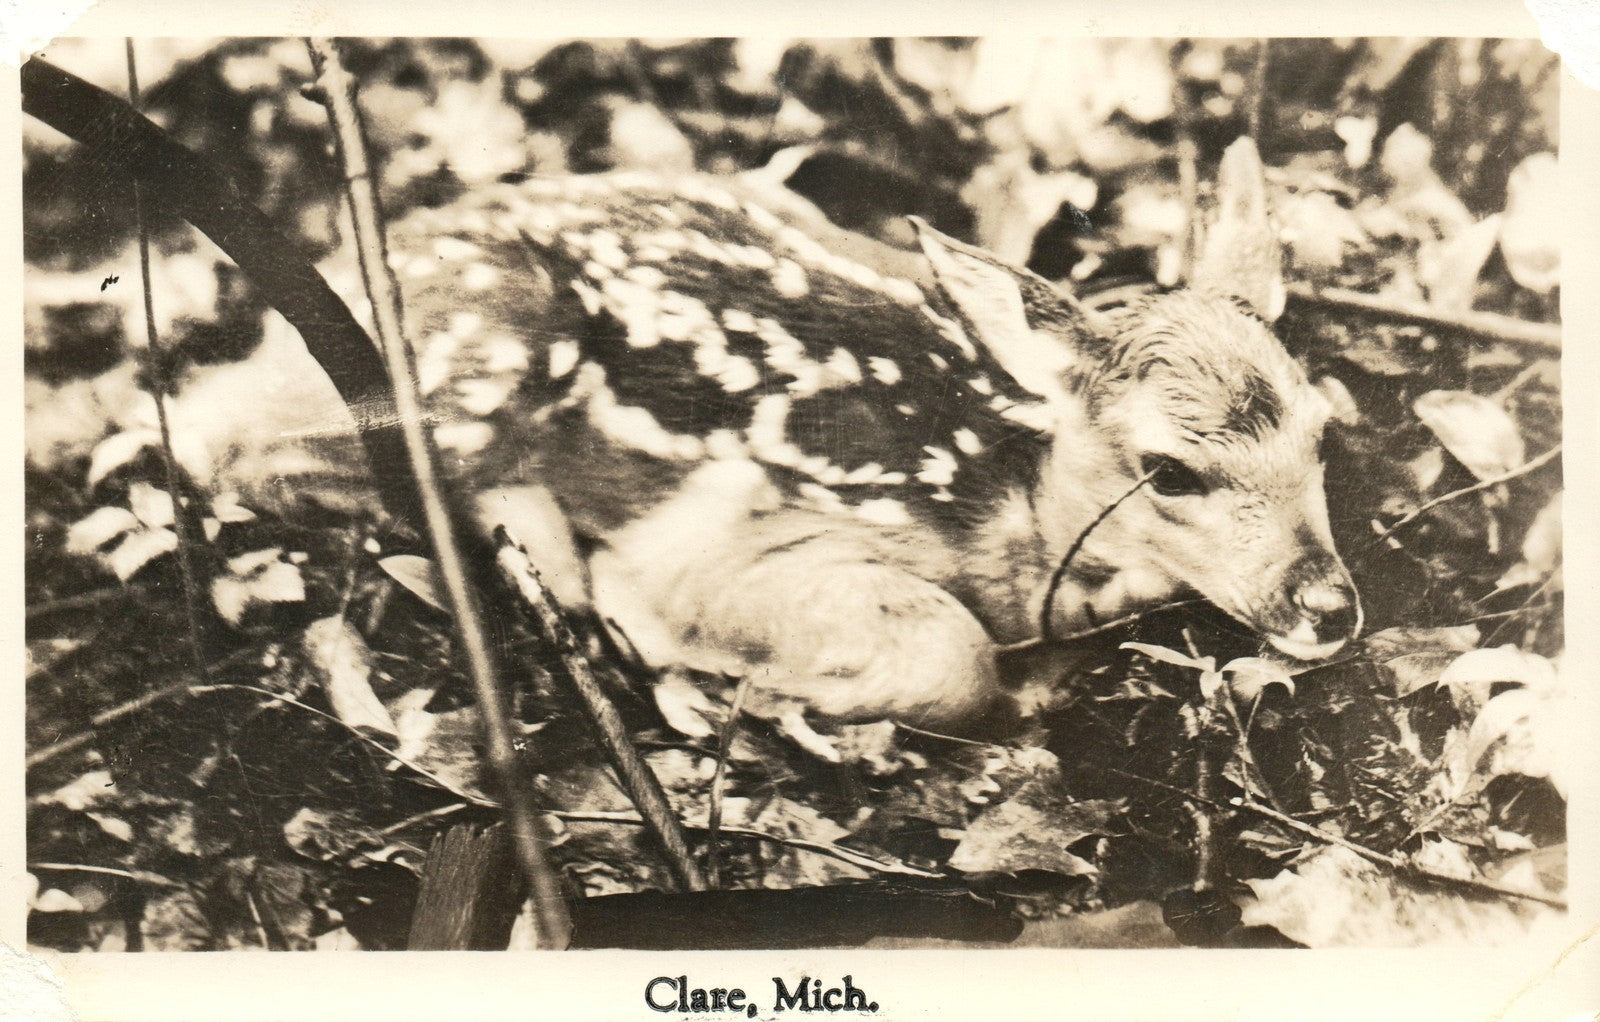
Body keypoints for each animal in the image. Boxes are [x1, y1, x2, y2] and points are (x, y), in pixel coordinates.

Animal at [370, 138, 1359, 759]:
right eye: (1168, 472)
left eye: (1323, 432)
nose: (1329, 606)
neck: (1012, 521)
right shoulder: (734, 546)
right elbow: (952, 652)